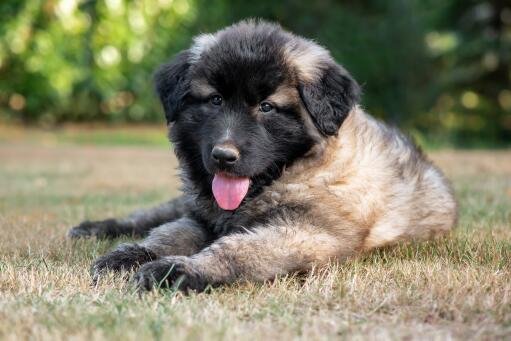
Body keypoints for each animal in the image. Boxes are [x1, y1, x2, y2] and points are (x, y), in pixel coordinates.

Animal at [70, 19, 458, 290]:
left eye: (267, 107)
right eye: (215, 100)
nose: (223, 156)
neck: (291, 174)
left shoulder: (304, 232)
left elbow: (237, 249)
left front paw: (179, 270)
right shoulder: (202, 218)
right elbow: (166, 234)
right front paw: (130, 255)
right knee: (152, 214)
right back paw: (97, 228)